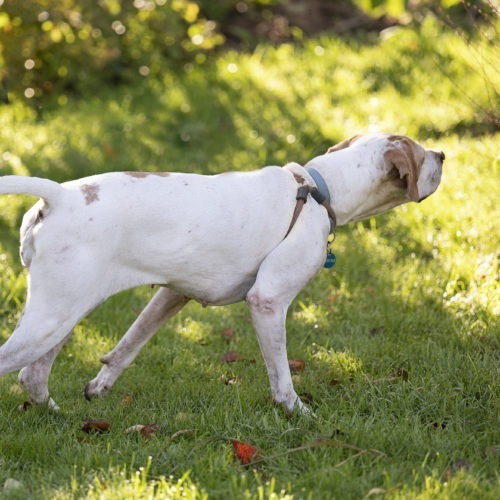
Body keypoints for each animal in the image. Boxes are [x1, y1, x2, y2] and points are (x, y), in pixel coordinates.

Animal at [0, 134, 446, 414]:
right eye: (419, 152)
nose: (443, 154)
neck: (318, 190)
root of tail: (60, 196)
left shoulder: (172, 294)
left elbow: (126, 347)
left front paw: (99, 389)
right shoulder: (267, 301)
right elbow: (282, 377)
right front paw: (299, 414)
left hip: (64, 315)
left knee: (33, 375)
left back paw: (57, 414)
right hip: (50, 319)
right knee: (19, 366)